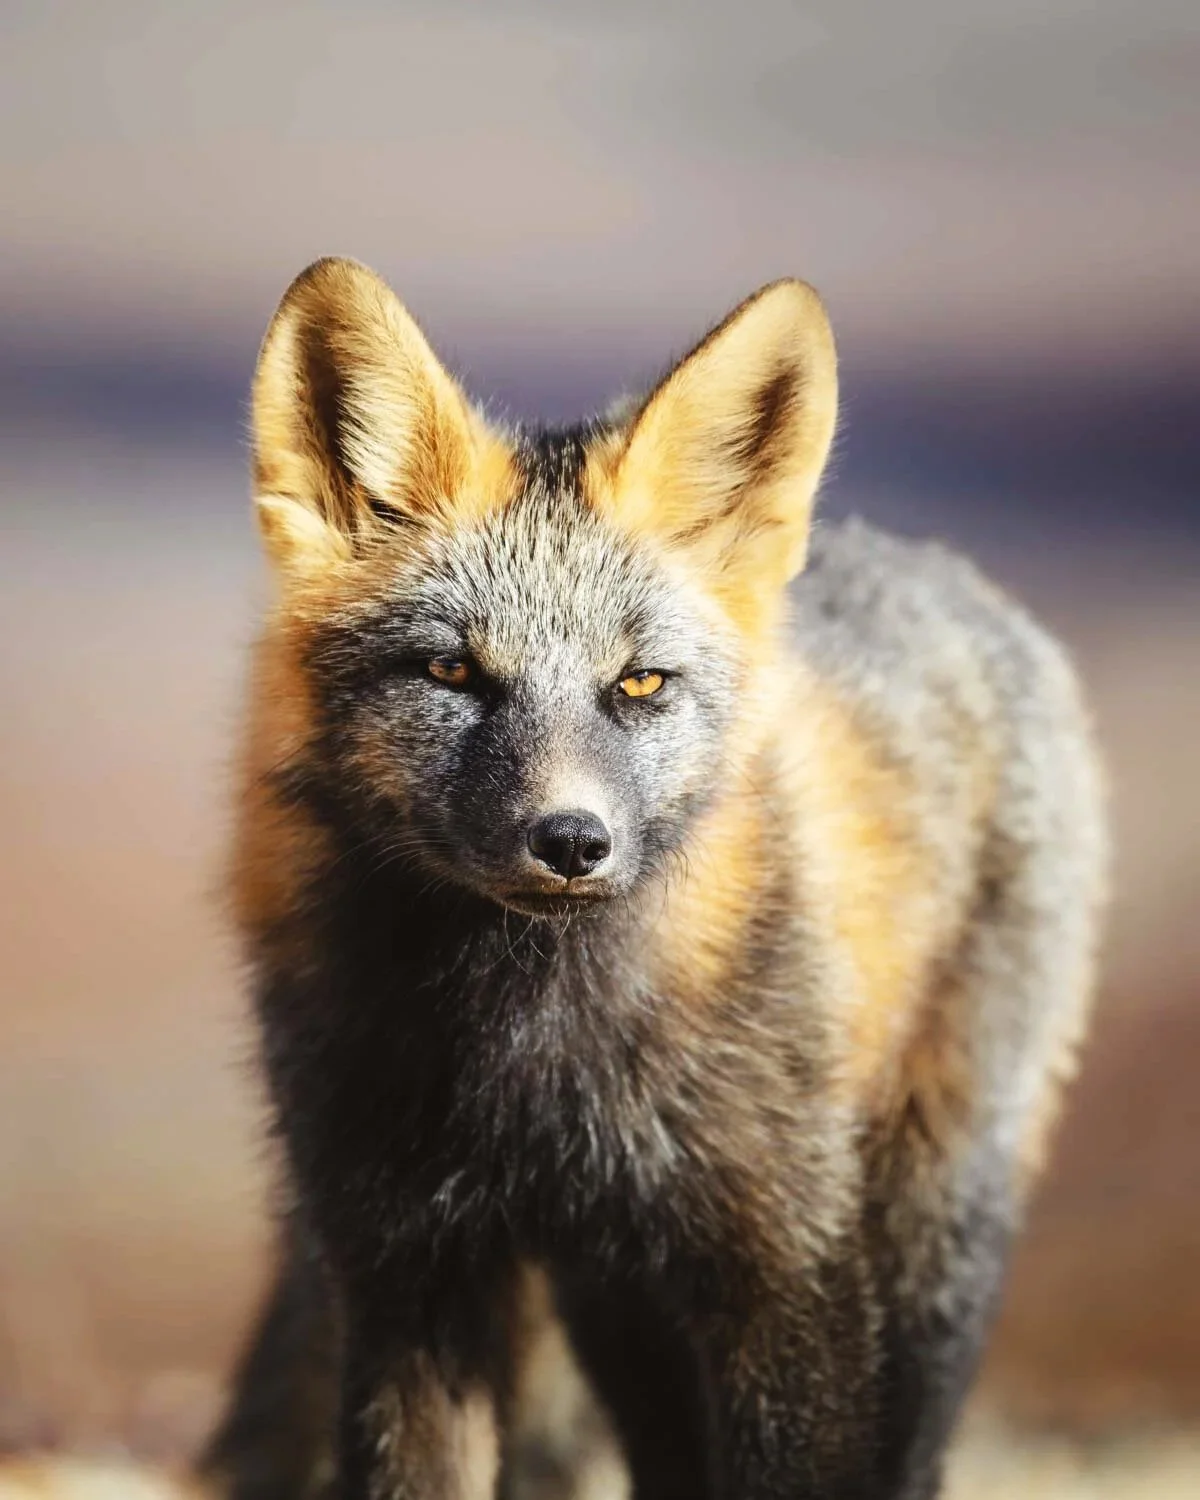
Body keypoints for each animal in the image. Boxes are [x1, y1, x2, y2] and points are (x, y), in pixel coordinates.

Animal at [197, 257, 1107, 1500]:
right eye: (451, 672)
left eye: (637, 684)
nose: (570, 840)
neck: (527, 1060)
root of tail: (942, 570)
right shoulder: (403, 1270)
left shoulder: (786, 1261)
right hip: (615, 1297)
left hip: (930, 1214)